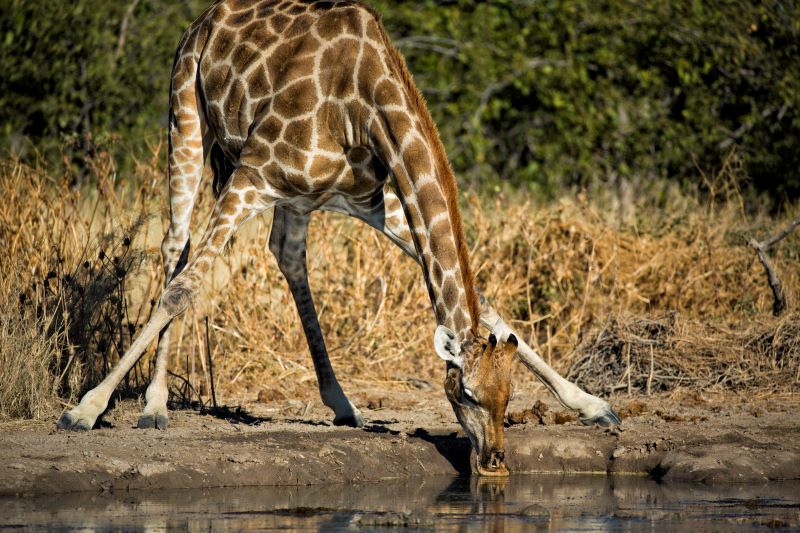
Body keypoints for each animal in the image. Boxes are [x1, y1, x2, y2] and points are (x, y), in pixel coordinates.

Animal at [57, 0, 619, 476]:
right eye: (466, 395)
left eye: (509, 398)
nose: (494, 462)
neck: (365, 105)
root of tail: (204, 19)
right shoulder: (252, 174)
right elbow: (183, 288)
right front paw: (84, 410)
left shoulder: (370, 200)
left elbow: (493, 308)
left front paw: (594, 405)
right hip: (187, 119)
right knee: (178, 250)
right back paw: (154, 405)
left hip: (298, 197)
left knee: (285, 255)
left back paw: (342, 402)